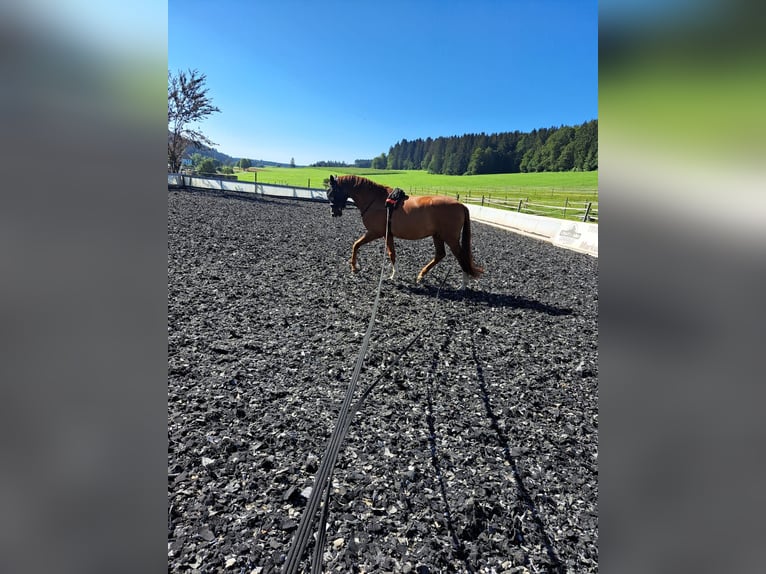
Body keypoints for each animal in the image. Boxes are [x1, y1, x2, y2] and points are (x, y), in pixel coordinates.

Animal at [326, 174, 484, 288]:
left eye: (332, 192)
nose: (334, 213)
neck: (376, 200)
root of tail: (461, 205)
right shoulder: (388, 234)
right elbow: (392, 253)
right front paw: (393, 275)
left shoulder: (375, 232)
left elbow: (356, 245)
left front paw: (354, 267)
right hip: (437, 236)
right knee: (440, 255)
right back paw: (421, 276)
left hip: (450, 238)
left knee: (461, 257)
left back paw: (463, 285)